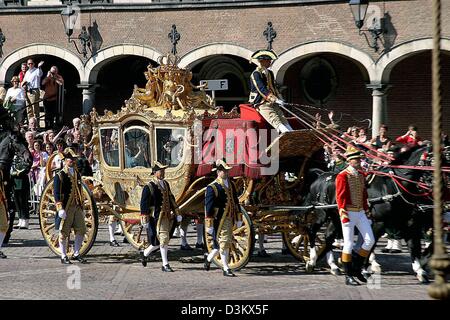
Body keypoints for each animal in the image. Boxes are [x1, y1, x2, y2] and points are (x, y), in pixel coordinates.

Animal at [302, 145, 436, 282]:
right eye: (432, 160)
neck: (393, 187)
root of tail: (321, 175)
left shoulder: (409, 222)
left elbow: (413, 245)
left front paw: (420, 270)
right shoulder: (379, 222)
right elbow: (371, 245)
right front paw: (363, 268)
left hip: (337, 218)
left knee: (328, 236)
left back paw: (333, 265)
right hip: (322, 213)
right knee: (311, 230)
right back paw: (312, 260)